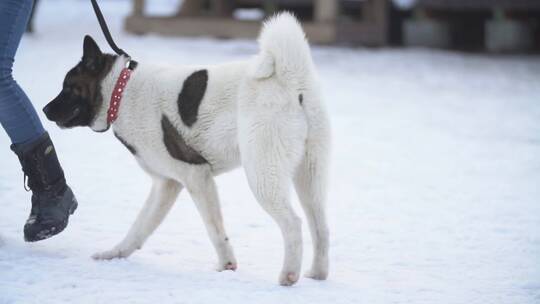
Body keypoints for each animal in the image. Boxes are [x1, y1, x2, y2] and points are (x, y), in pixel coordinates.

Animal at [44, 13, 330, 286]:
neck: (120, 92)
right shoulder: (167, 183)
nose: (45, 110)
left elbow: (214, 229)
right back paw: (318, 273)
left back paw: (288, 275)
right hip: (309, 176)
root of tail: (290, 77)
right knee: (320, 226)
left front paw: (226, 264)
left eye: (68, 87)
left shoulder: (196, 174)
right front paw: (115, 254)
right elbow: (139, 227)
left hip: (263, 173)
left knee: (293, 223)